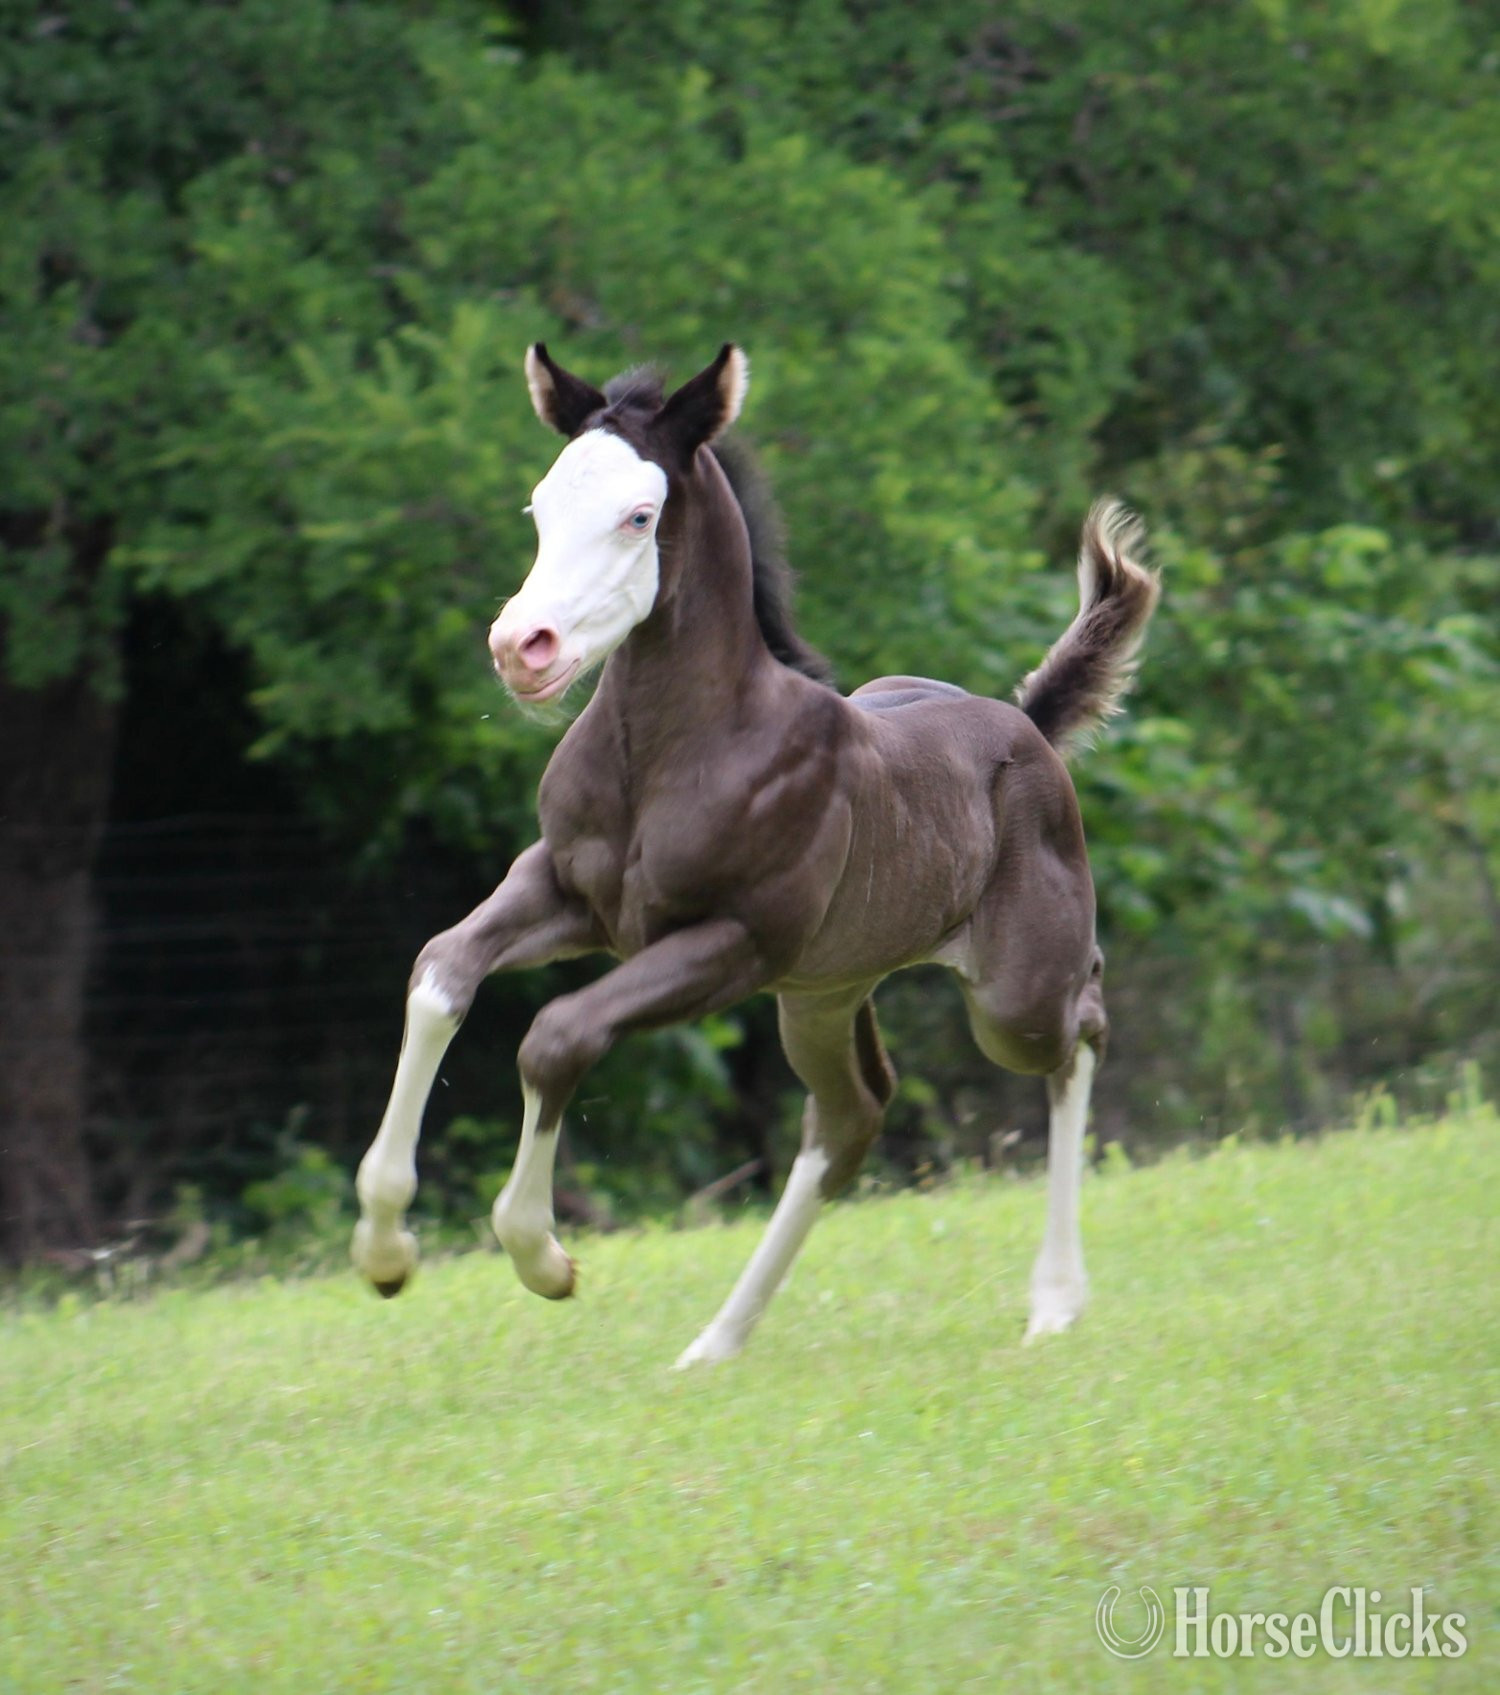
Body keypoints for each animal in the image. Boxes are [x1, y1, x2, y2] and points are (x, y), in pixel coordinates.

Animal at [351, 343, 1159, 1366]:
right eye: (539, 506)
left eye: (639, 514)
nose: (520, 648)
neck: (670, 753)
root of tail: (1031, 726)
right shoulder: (566, 892)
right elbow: (440, 972)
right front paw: (384, 1251)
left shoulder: (733, 942)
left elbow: (557, 1034)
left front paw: (543, 1256)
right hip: (823, 992)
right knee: (851, 1113)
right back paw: (716, 1341)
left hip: (1010, 995)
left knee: (1078, 1030)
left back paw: (1055, 1300)